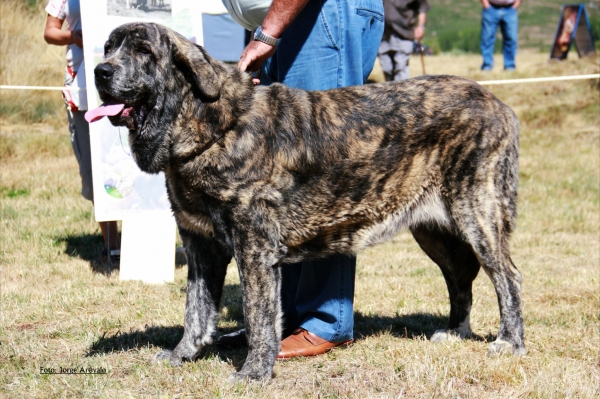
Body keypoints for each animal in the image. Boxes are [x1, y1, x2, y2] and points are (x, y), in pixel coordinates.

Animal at [90, 23, 524, 382]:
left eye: (144, 51)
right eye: (109, 47)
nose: (100, 71)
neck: (210, 124)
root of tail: (501, 105)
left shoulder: (254, 247)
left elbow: (259, 315)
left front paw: (254, 372)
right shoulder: (201, 246)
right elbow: (196, 308)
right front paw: (183, 354)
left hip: (477, 214)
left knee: (508, 277)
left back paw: (509, 342)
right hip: (434, 231)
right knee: (460, 276)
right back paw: (456, 331)